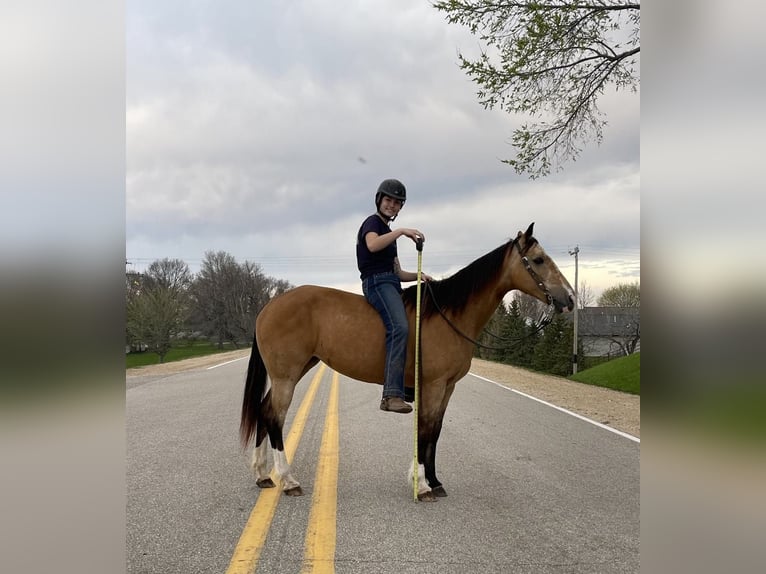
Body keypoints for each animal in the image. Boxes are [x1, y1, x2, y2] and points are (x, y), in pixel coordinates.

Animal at [240, 223, 574, 500]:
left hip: (296, 369)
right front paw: (422, 484)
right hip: (286, 375)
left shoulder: (447, 388)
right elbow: (425, 429)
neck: (448, 314)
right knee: (274, 417)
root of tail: (269, 307)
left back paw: (262, 475)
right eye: (539, 259)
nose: (570, 298)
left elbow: (434, 431)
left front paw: (435, 481)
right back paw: (288, 480)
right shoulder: (434, 385)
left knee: (263, 410)